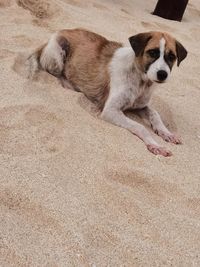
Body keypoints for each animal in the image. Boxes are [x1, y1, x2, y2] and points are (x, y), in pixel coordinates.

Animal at [28, 28, 188, 157]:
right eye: (152, 52)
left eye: (172, 57)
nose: (162, 74)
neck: (141, 81)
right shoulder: (111, 110)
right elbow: (140, 127)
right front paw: (155, 145)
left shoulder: (140, 106)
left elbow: (155, 114)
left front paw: (166, 133)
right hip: (57, 53)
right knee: (53, 71)